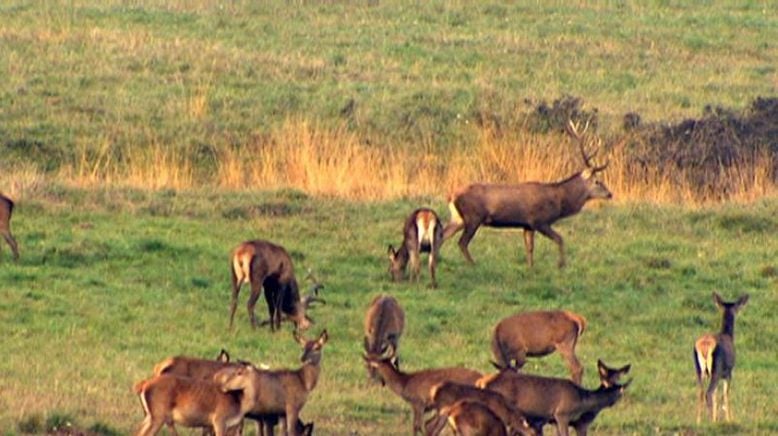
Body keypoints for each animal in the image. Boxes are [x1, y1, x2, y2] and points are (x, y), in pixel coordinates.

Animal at [442, 121, 612, 268]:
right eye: (597, 181)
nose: (610, 194)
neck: (559, 201)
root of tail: (451, 196)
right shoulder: (540, 220)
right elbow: (560, 239)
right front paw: (561, 265)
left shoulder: (527, 225)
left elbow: (529, 248)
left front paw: (531, 267)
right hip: (473, 217)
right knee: (462, 242)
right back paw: (473, 264)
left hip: (458, 218)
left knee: (443, 235)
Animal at [696, 292, 748, 422]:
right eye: (737, 308)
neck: (728, 335)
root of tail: (705, 345)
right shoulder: (728, 373)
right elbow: (725, 395)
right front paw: (729, 419)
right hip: (717, 369)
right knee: (708, 393)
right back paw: (710, 421)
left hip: (699, 370)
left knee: (701, 392)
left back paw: (699, 421)